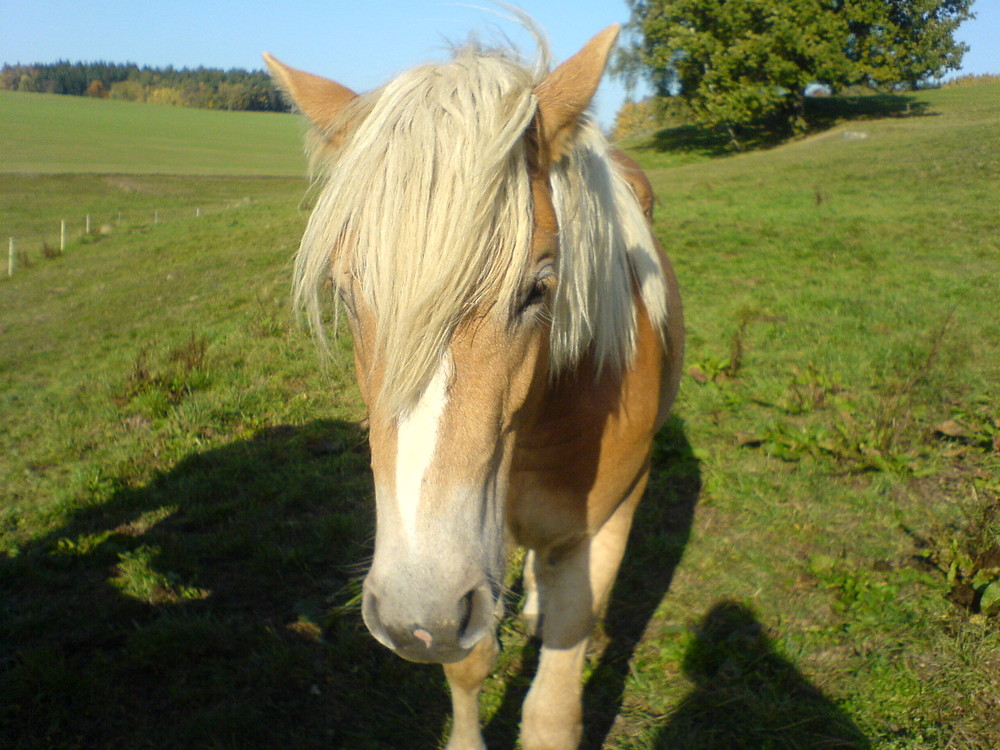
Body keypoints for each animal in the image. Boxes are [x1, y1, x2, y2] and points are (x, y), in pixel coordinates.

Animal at [266, 22, 684, 750]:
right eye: (345, 294)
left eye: (540, 288)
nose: (416, 615)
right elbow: (469, 666)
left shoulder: (606, 522)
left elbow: (552, 713)